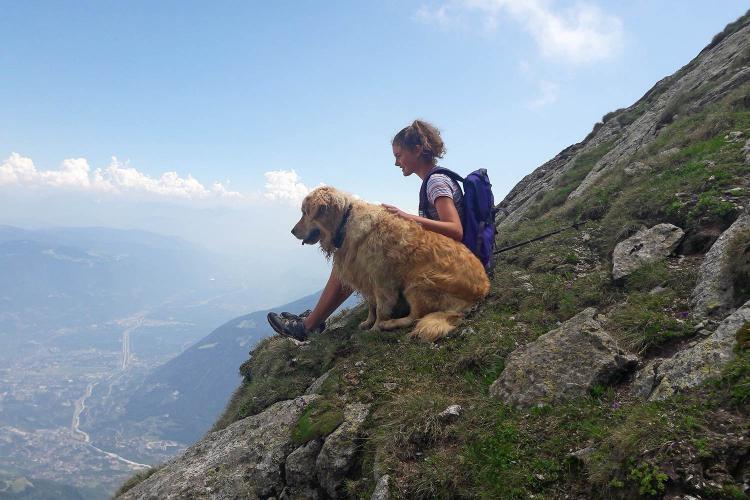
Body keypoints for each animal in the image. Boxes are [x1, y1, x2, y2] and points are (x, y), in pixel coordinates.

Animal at [290, 186, 490, 342]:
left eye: (305, 212)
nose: (292, 231)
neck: (345, 225)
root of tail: (480, 293)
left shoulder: (382, 280)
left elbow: (380, 308)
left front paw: (375, 327)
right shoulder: (364, 277)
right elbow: (371, 305)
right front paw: (368, 322)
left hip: (418, 282)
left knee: (415, 317)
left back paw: (390, 324)